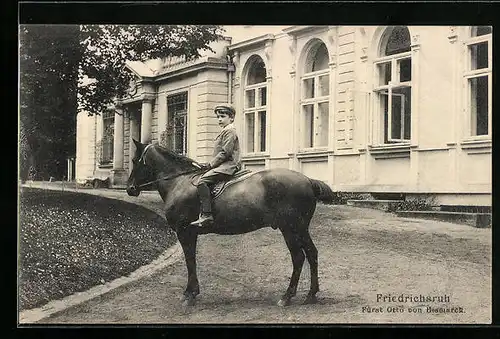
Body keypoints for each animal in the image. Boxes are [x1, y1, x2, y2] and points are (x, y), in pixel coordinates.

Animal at [127, 139, 334, 310]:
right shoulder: (189, 233)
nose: (129, 188)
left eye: (135, 161)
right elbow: (191, 260)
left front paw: (189, 294)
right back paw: (311, 295)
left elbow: (190, 261)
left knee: (299, 257)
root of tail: (308, 180)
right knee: (311, 254)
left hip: (291, 228)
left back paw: (287, 296)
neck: (179, 182)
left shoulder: (185, 232)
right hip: (298, 229)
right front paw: (192, 292)